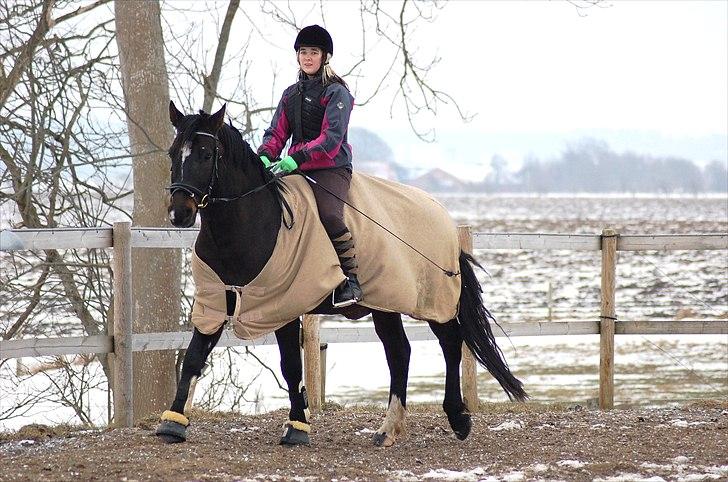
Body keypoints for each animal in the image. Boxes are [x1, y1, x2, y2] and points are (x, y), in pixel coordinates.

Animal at [156, 101, 528, 448]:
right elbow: (193, 356)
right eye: (174, 152)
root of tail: (444, 218)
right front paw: (172, 423)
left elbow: (291, 366)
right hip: (385, 304)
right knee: (400, 353)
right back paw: (389, 429)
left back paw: (458, 418)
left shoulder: (281, 306)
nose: (179, 212)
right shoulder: (216, 301)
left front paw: (297, 427)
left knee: (450, 343)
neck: (256, 221)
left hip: (431, 300)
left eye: (205, 154)